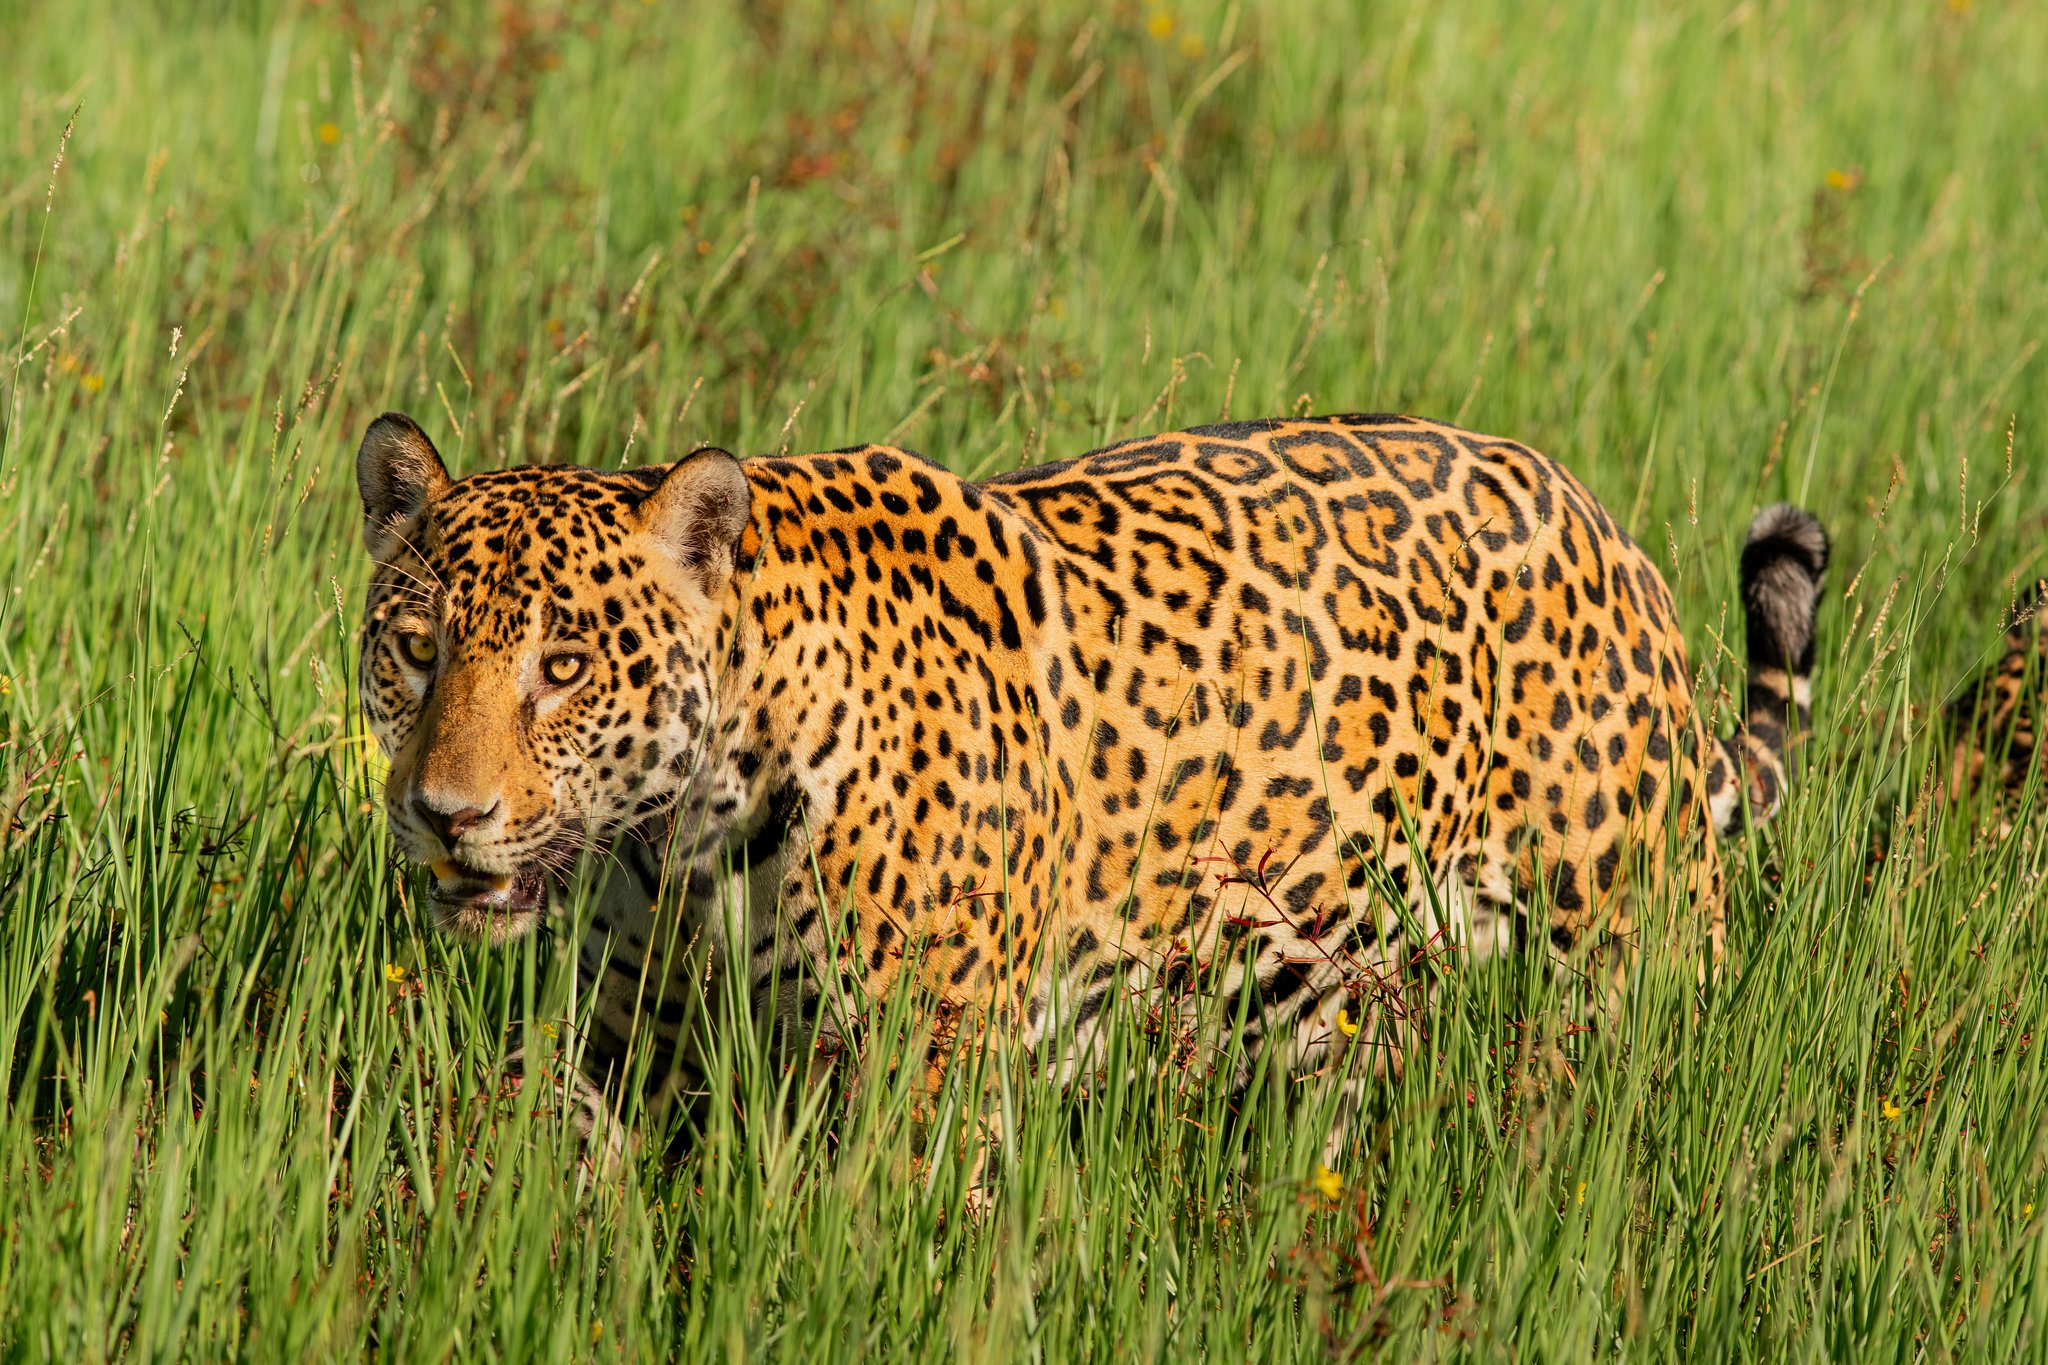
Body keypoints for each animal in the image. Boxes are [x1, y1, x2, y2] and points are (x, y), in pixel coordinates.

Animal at [353, 409, 1829, 1160]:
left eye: (561, 668)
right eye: (416, 650)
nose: (444, 816)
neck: (687, 832)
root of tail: (1598, 518)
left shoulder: (921, 1066)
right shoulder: (629, 1036)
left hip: (1626, 944)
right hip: (1313, 980)